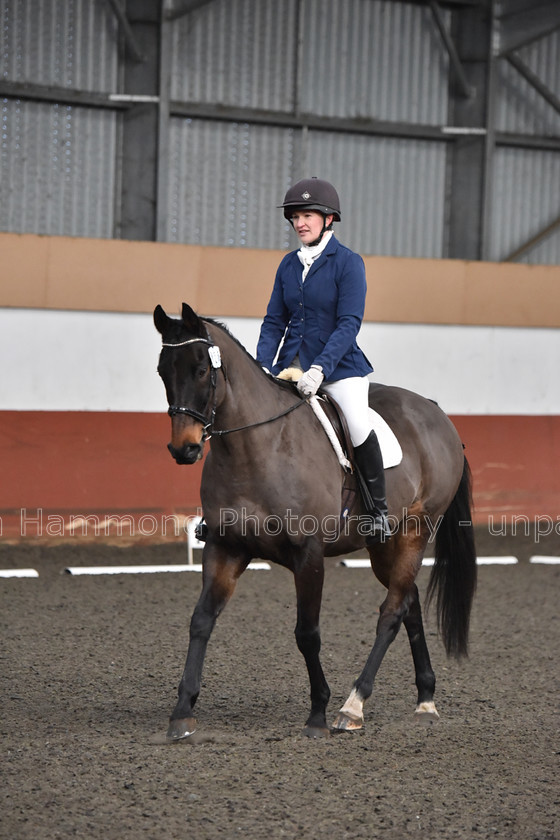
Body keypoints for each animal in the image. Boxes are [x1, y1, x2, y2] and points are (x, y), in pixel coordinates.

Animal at [154, 306, 476, 740]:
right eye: (162, 371)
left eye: (202, 369)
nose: (183, 449)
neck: (257, 448)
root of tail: (434, 410)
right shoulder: (226, 547)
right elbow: (201, 620)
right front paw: (182, 711)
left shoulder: (309, 554)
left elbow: (307, 634)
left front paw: (318, 714)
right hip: (383, 545)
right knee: (407, 602)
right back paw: (425, 698)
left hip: (416, 531)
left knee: (391, 611)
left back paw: (352, 706)